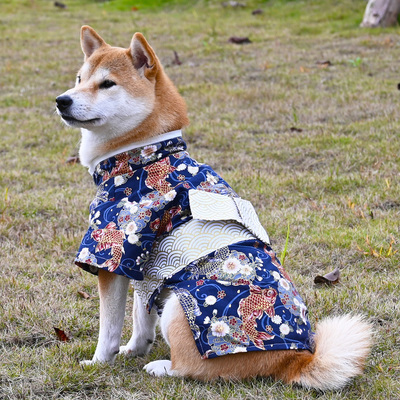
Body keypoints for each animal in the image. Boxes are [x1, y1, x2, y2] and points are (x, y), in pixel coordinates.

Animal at [55, 26, 372, 390]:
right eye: (79, 79)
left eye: (107, 84)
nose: (62, 100)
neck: (142, 155)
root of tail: (293, 359)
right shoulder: (144, 266)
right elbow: (140, 316)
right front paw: (134, 348)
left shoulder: (112, 254)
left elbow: (109, 327)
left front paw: (98, 362)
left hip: (180, 306)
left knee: (193, 368)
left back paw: (162, 367)